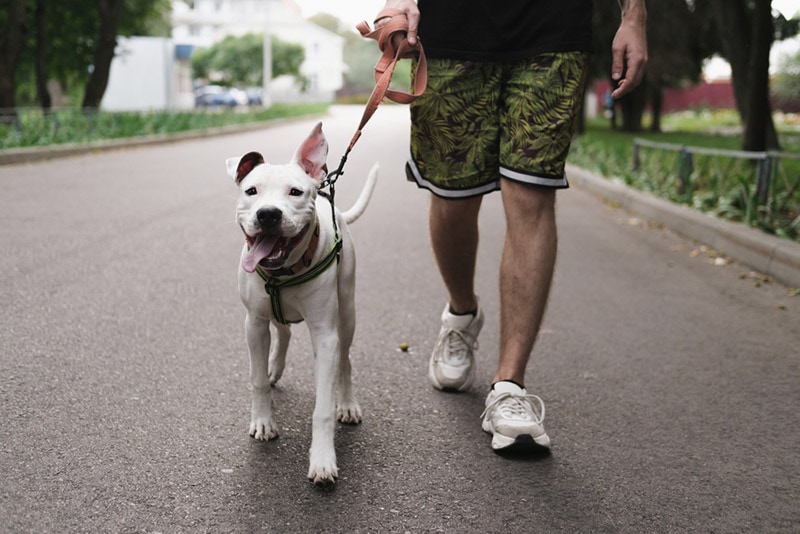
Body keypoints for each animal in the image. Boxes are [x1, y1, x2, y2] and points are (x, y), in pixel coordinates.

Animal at [223, 123, 376, 488]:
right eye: (251, 191)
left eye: (295, 192)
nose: (268, 214)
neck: (284, 272)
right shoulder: (253, 323)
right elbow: (256, 379)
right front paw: (263, 421)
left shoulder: (325, 335)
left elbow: (322, 407)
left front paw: (322, 460)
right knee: (283, 333)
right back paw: (274, 367)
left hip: (347, 312)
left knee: (345, 360)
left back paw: (347, 403)